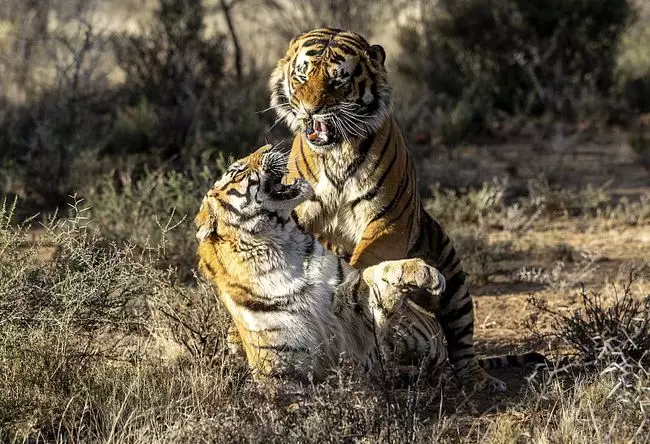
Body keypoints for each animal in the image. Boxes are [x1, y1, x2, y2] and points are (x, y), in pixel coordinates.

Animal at [192, 146, 448, 382]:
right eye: (236, 171)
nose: (268, 147)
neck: (278, 246)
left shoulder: (354, 308)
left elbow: (376, 274)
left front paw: (425, 273)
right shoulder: (279, 369)